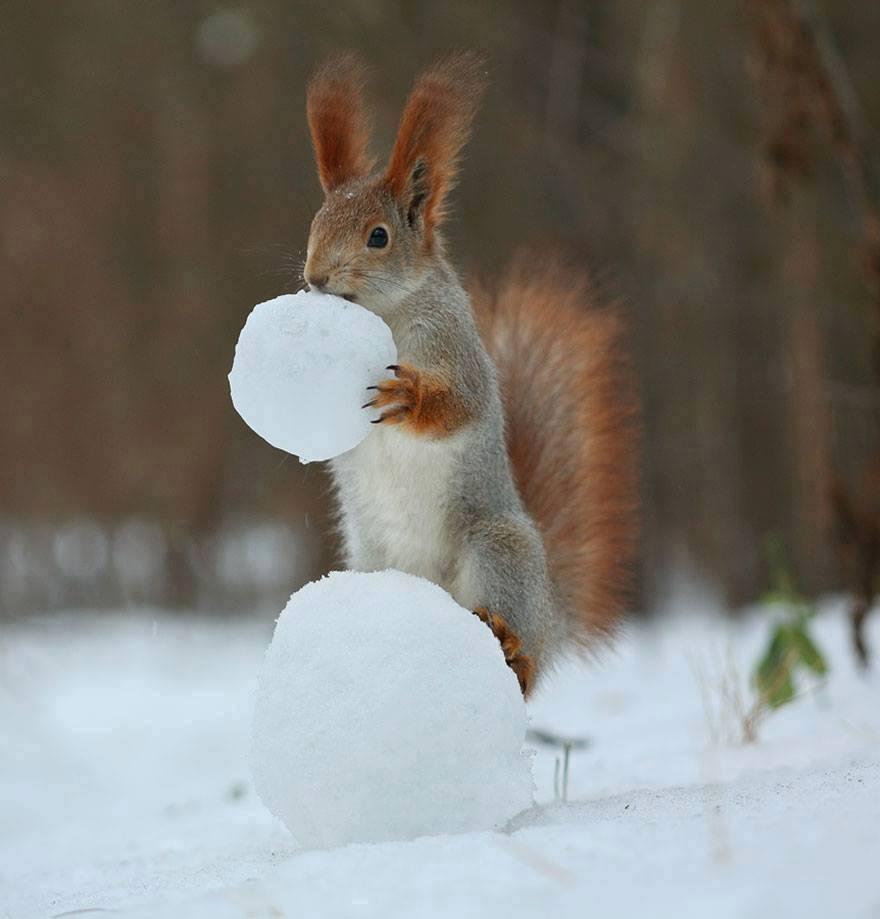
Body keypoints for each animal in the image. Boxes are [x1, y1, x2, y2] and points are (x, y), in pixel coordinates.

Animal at [302, 52, 640, 696]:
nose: (314, 279)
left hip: (498, 551)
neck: (388, 312)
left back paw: (514, 650)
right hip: (370, 558)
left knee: (521, 659)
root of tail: (551, 615)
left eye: (378, 237)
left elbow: (462, 404)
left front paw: (408, 397)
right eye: (314, 222)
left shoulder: (455, 346)